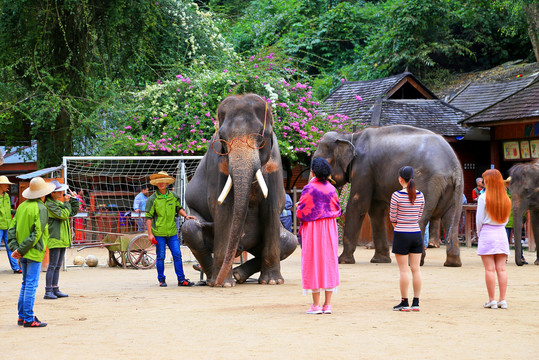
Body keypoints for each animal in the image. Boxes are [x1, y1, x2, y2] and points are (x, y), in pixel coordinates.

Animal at [184, 93, 298, 286]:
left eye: (260, 135)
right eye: (222, 137)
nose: (219, 282)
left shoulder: (275, 163)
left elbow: (271, 208)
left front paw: (273, 282)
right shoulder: (217, 164)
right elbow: (223, 209)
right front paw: (224, 284)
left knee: (291, 241)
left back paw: (238, 275)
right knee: (190, 228)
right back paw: (212, 278)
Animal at [316, 125, 464, 266]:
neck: (350, 136)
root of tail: (454, 167)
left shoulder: (363, 168)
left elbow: (358, 205)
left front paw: (342, 261)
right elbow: (376, 210)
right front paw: (380, 260)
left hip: (426, 184)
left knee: (421, 219)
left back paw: (414, 262)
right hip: (454, 189)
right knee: (451, 218)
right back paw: (453, 263)